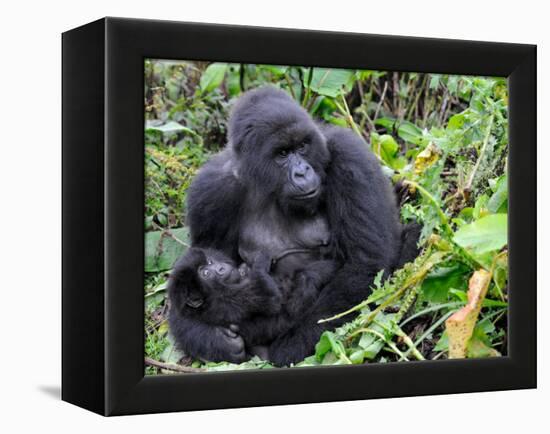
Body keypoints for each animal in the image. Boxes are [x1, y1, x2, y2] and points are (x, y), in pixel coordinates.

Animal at [172, 87, 418, 366]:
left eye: (302, 147)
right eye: (282, 154)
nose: (302, 172)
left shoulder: (351, 157)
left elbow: (364, 264)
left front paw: (288, 349)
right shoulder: (210, 192)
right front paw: (213, 341)